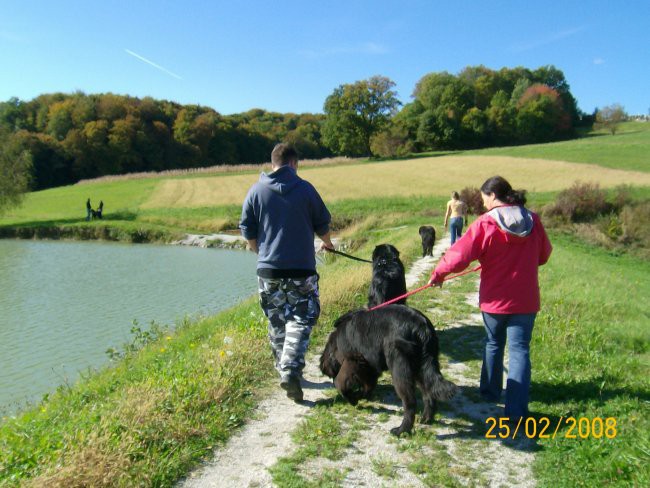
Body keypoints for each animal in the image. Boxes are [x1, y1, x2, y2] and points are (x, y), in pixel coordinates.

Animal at [318, 304, 456, 434]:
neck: (335, 344)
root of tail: (422, 328)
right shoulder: (368, 365)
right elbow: (368, 385)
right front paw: (359, 396)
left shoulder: (352, 361)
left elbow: (341, 383)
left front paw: (352, 399)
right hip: (421, 367)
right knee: (428, 394)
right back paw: (426, 419)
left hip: (399, 368)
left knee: (410, 402)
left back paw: (401, 430)